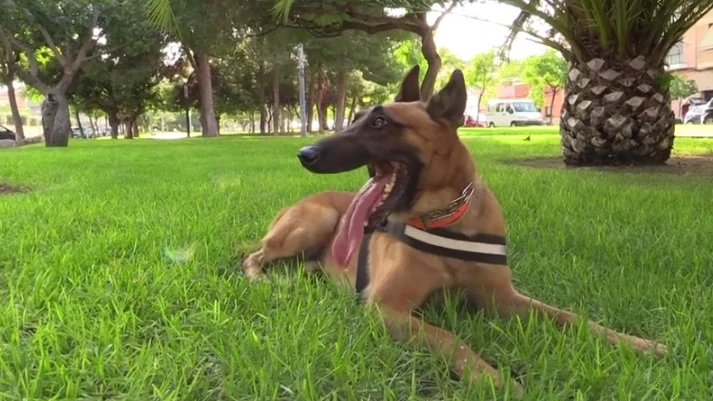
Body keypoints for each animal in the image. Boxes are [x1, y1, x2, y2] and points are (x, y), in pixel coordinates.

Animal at [241, 65, 668, 394]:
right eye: (356, 117)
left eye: (379, 122)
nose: (305, 153)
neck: (445, 218)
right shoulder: (385, 307)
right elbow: (451, 338)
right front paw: (495, 380)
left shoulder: (503, 299)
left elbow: (570, 316)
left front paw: (636, 343)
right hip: (315, 222)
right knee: (253, 256)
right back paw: (268, 280)